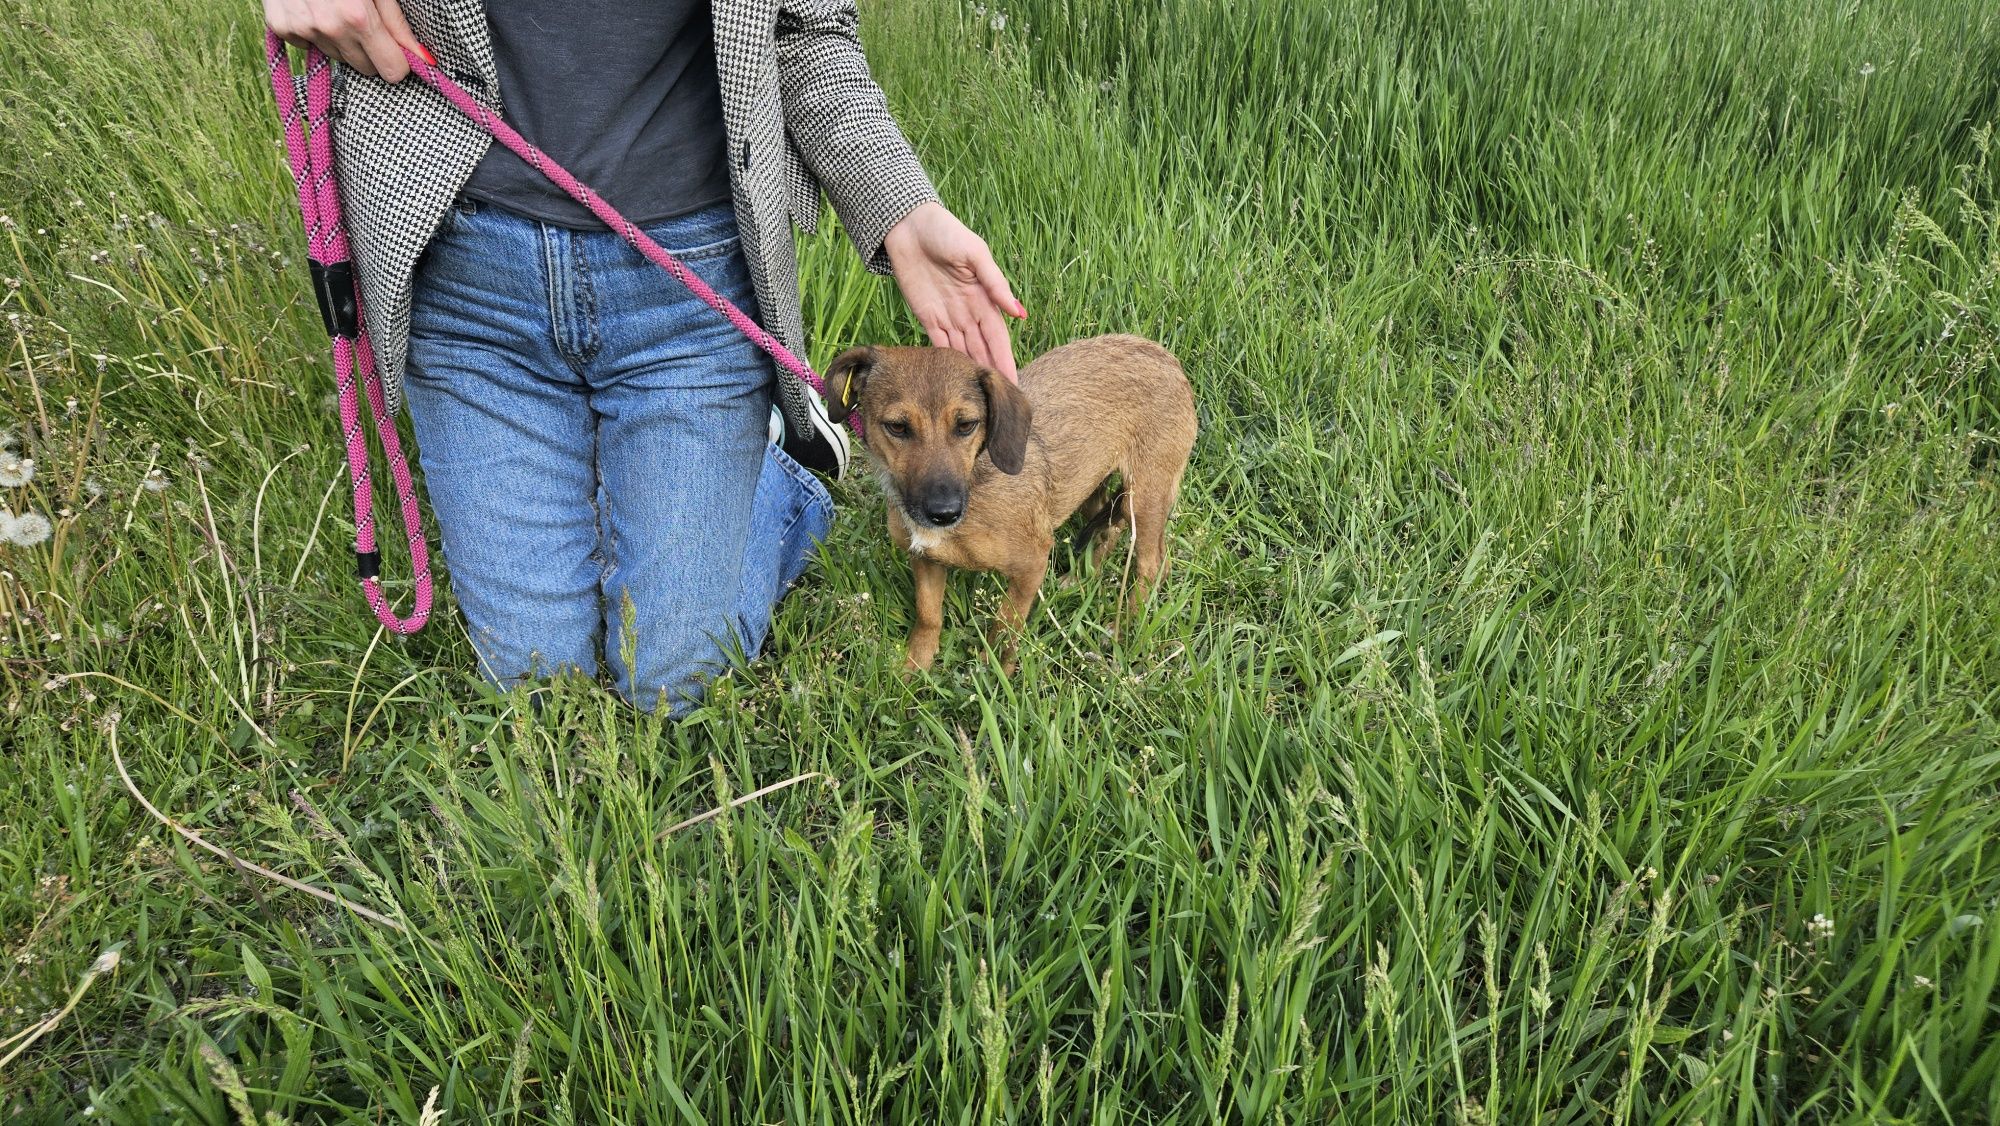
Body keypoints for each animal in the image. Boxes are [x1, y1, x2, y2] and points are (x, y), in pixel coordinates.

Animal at [820, 334, 1192, 668]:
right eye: (897, 427)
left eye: (967, 425)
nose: (943, 513)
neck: (974, 481)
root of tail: (1167, 359)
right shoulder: (925, 560)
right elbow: (928, 617)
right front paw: (913, 671)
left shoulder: (1032, 563)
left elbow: (1005, 624)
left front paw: (996, 671)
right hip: (1091, 484)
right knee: (1109, 531)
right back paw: (1080, 580)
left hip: (1144, 497)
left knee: (1152, 564)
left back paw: (1123, 627)